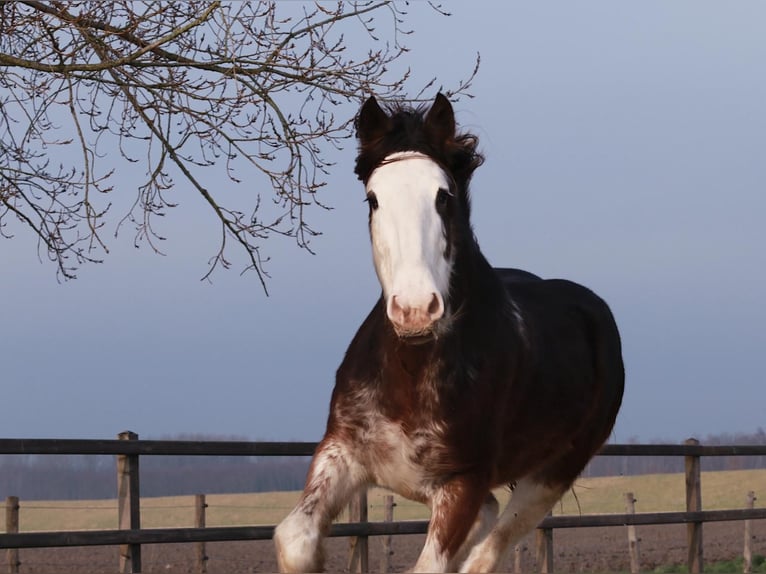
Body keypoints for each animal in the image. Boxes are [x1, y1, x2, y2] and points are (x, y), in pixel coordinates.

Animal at [272, 92, 628, 572]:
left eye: (444, 196)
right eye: (373, 200)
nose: (415, 310)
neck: (410, 369)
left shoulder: (463, 482)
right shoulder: (341, 451)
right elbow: (296, 539)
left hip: (551, 475)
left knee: (486, 553)